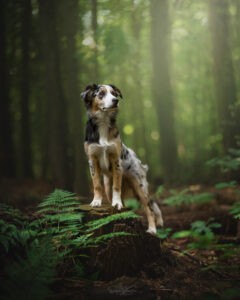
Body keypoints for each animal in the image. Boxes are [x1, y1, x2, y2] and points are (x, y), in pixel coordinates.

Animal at [81, 84, 163, 234]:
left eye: (114, 93)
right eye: (101, 94)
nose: (115, 100)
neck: (103, 122)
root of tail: (139, 162)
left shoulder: (116, 160)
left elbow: (117, 187)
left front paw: (117, 203)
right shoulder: (92, 160)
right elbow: (96, 185)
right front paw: (96, 201)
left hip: (140, 187)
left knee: (149, 209)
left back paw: (152, 229)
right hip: (108, 186)